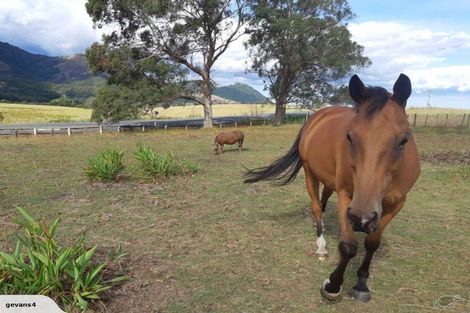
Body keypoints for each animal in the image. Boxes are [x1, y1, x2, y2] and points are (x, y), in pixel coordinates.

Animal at [244, 73, 420, 302]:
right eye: (350, 136)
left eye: (404, 140)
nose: (362, 220)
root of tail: (318, 116)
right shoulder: (347, 196)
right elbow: (348, 246)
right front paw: (333, 284)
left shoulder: (397, 204)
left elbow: (372, 242)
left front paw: (361, 283)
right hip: (310, 174)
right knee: (316, 207)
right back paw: (320, 244)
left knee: (324, 199)